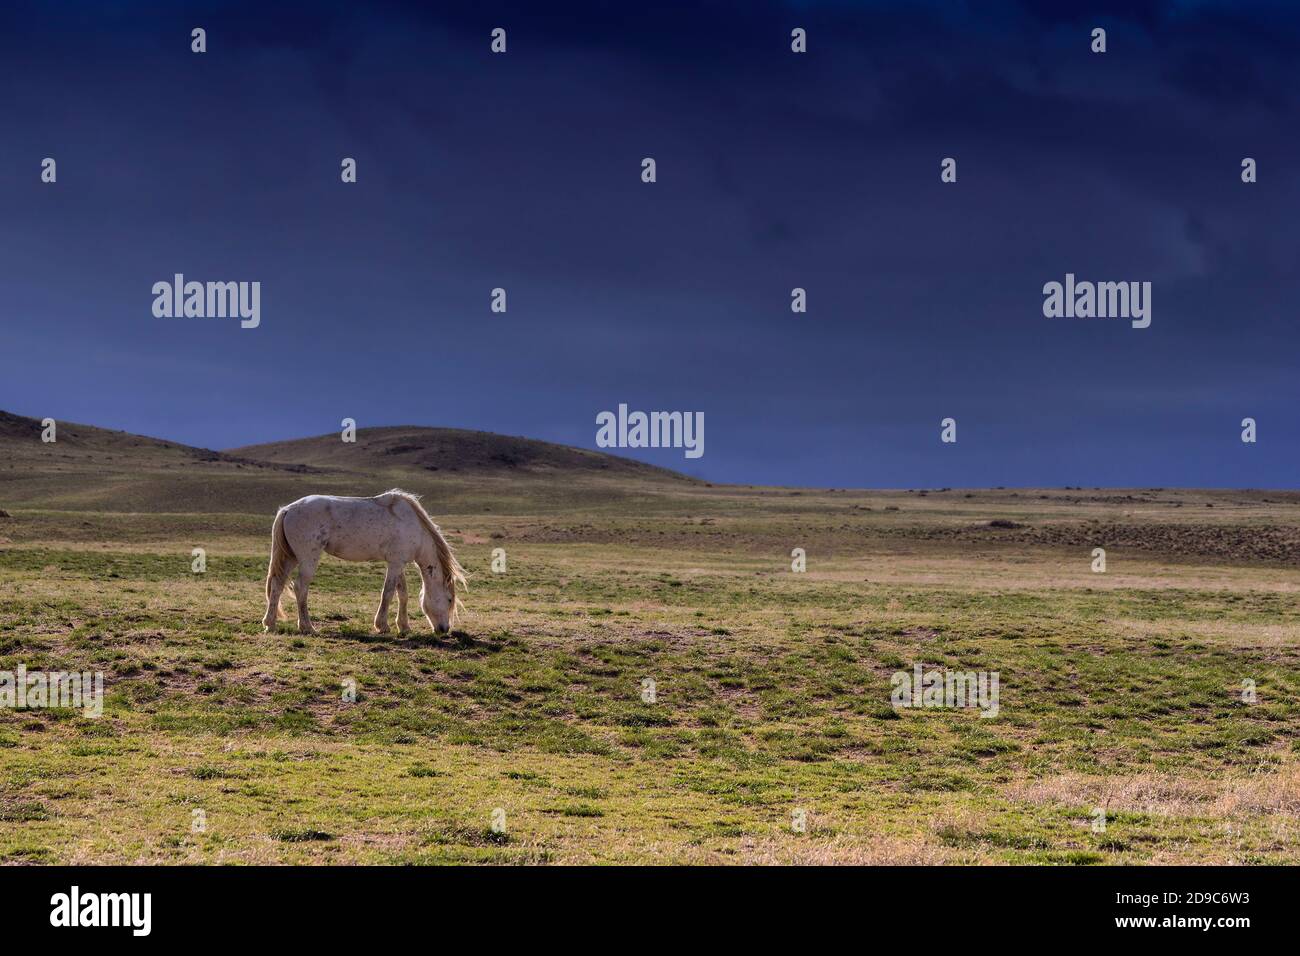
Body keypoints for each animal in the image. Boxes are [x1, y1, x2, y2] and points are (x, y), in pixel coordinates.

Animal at [262, 489, 467, 639]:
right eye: (449, 599)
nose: (444, 629)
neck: (413, 526)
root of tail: (288, 509)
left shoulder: (398, 563)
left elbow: (402, 594)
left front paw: (404, 627)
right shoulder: (395, 564)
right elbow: (388, 593)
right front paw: (382, 626)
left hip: (290, 557)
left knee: (277, 585)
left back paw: (270, 624)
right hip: (307, 559)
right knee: (300, 588)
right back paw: (307, 627)